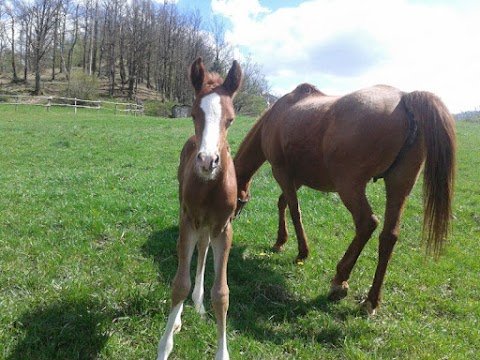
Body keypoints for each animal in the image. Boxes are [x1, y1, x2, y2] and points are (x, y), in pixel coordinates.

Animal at [157, 57, 240, 358]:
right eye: (194, 115)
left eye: (230, 119)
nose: (207, 161)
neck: (209, 186)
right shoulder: (188, 219)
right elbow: (179, 284)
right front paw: (165, 346)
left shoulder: (223, 228)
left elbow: (222, 294)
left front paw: (222, 352)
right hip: (191, 220)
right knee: (191, 253)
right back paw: (180, 317)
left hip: (208, 227)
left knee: (202, 250)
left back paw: (199, 302)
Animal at [234, 83, 456, 314]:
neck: (276, 115)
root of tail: (405, 98)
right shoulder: (297, 178)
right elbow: (283, 203)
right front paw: (280, 241)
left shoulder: (282, 172)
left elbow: (294, 209)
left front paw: (301, 251)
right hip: (399, 184)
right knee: (389, 236)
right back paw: (370, 301)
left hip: (349, 186)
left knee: (367, 224)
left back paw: (339, 281)